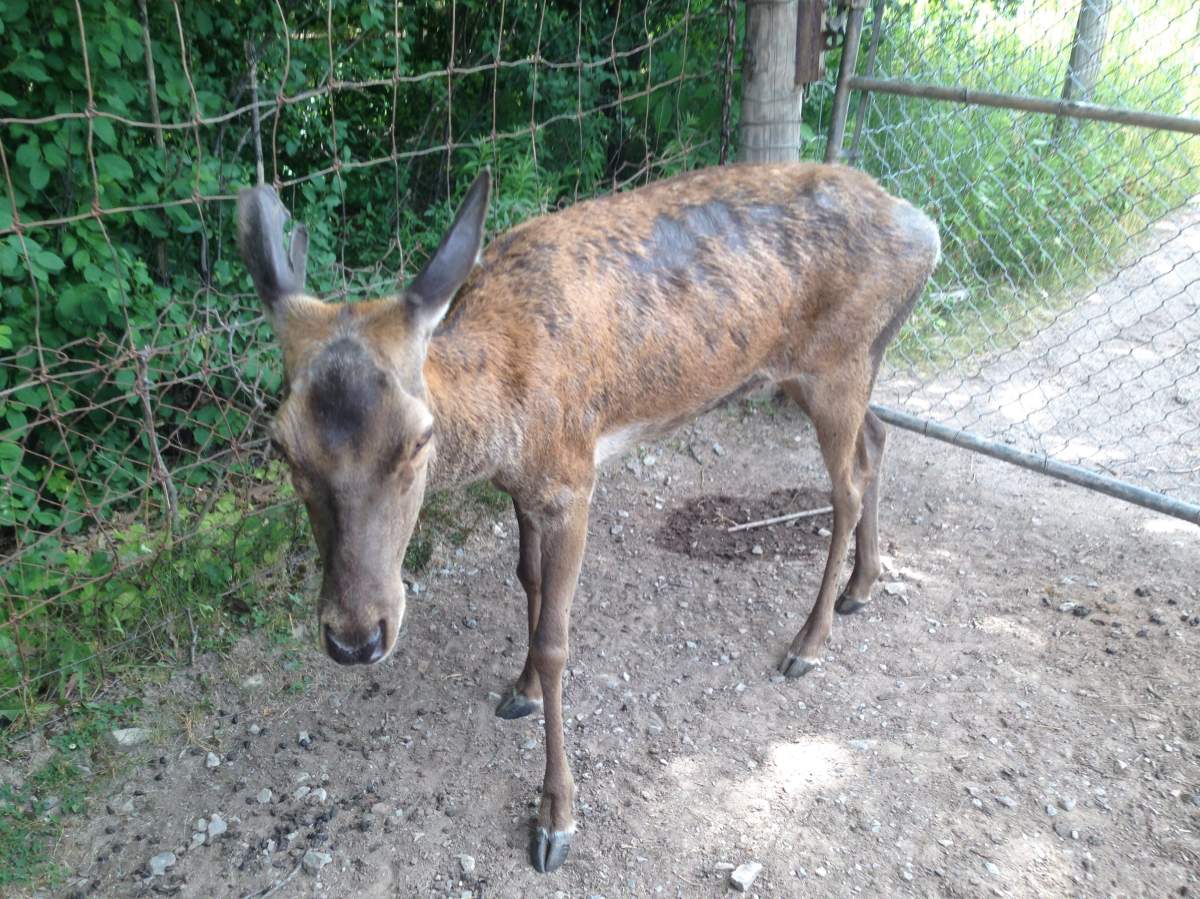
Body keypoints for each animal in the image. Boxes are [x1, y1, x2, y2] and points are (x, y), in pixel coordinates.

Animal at [237, 162, 939, 873]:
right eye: (281, 446)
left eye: (419, 438)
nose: (356, 638)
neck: (507, 422)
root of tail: (927, 228)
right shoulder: (524, 489)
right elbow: (528, 583)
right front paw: (518, 691)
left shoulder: (574, 478)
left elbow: (555, 639)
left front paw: (555, 820)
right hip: (834, 368)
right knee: (878, 440)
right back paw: (861, 588)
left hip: (837, 361)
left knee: (847, 488)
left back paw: (808, 642)